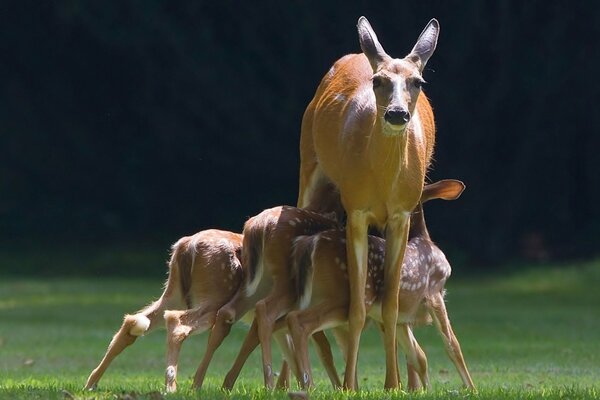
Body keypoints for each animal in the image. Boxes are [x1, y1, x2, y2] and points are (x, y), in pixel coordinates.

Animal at [288, 180, 476, 390]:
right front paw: (472, 389)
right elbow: (453, 345)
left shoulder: (402, 318)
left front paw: (426, 390)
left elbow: (418, 356)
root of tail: (310, 243)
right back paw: (310, 384)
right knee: (299, 321)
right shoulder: (434, 292)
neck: (425, 239)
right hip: (345, 298)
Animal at [298, 16, 438, 388]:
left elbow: (390, 305)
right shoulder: (357, 210)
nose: (397, 114)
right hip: (309, 167)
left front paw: (393, 384)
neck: (383, 182)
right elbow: (357, 308)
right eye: (378, 81)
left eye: (418, 81)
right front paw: (349, 384)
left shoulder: (401, 214)